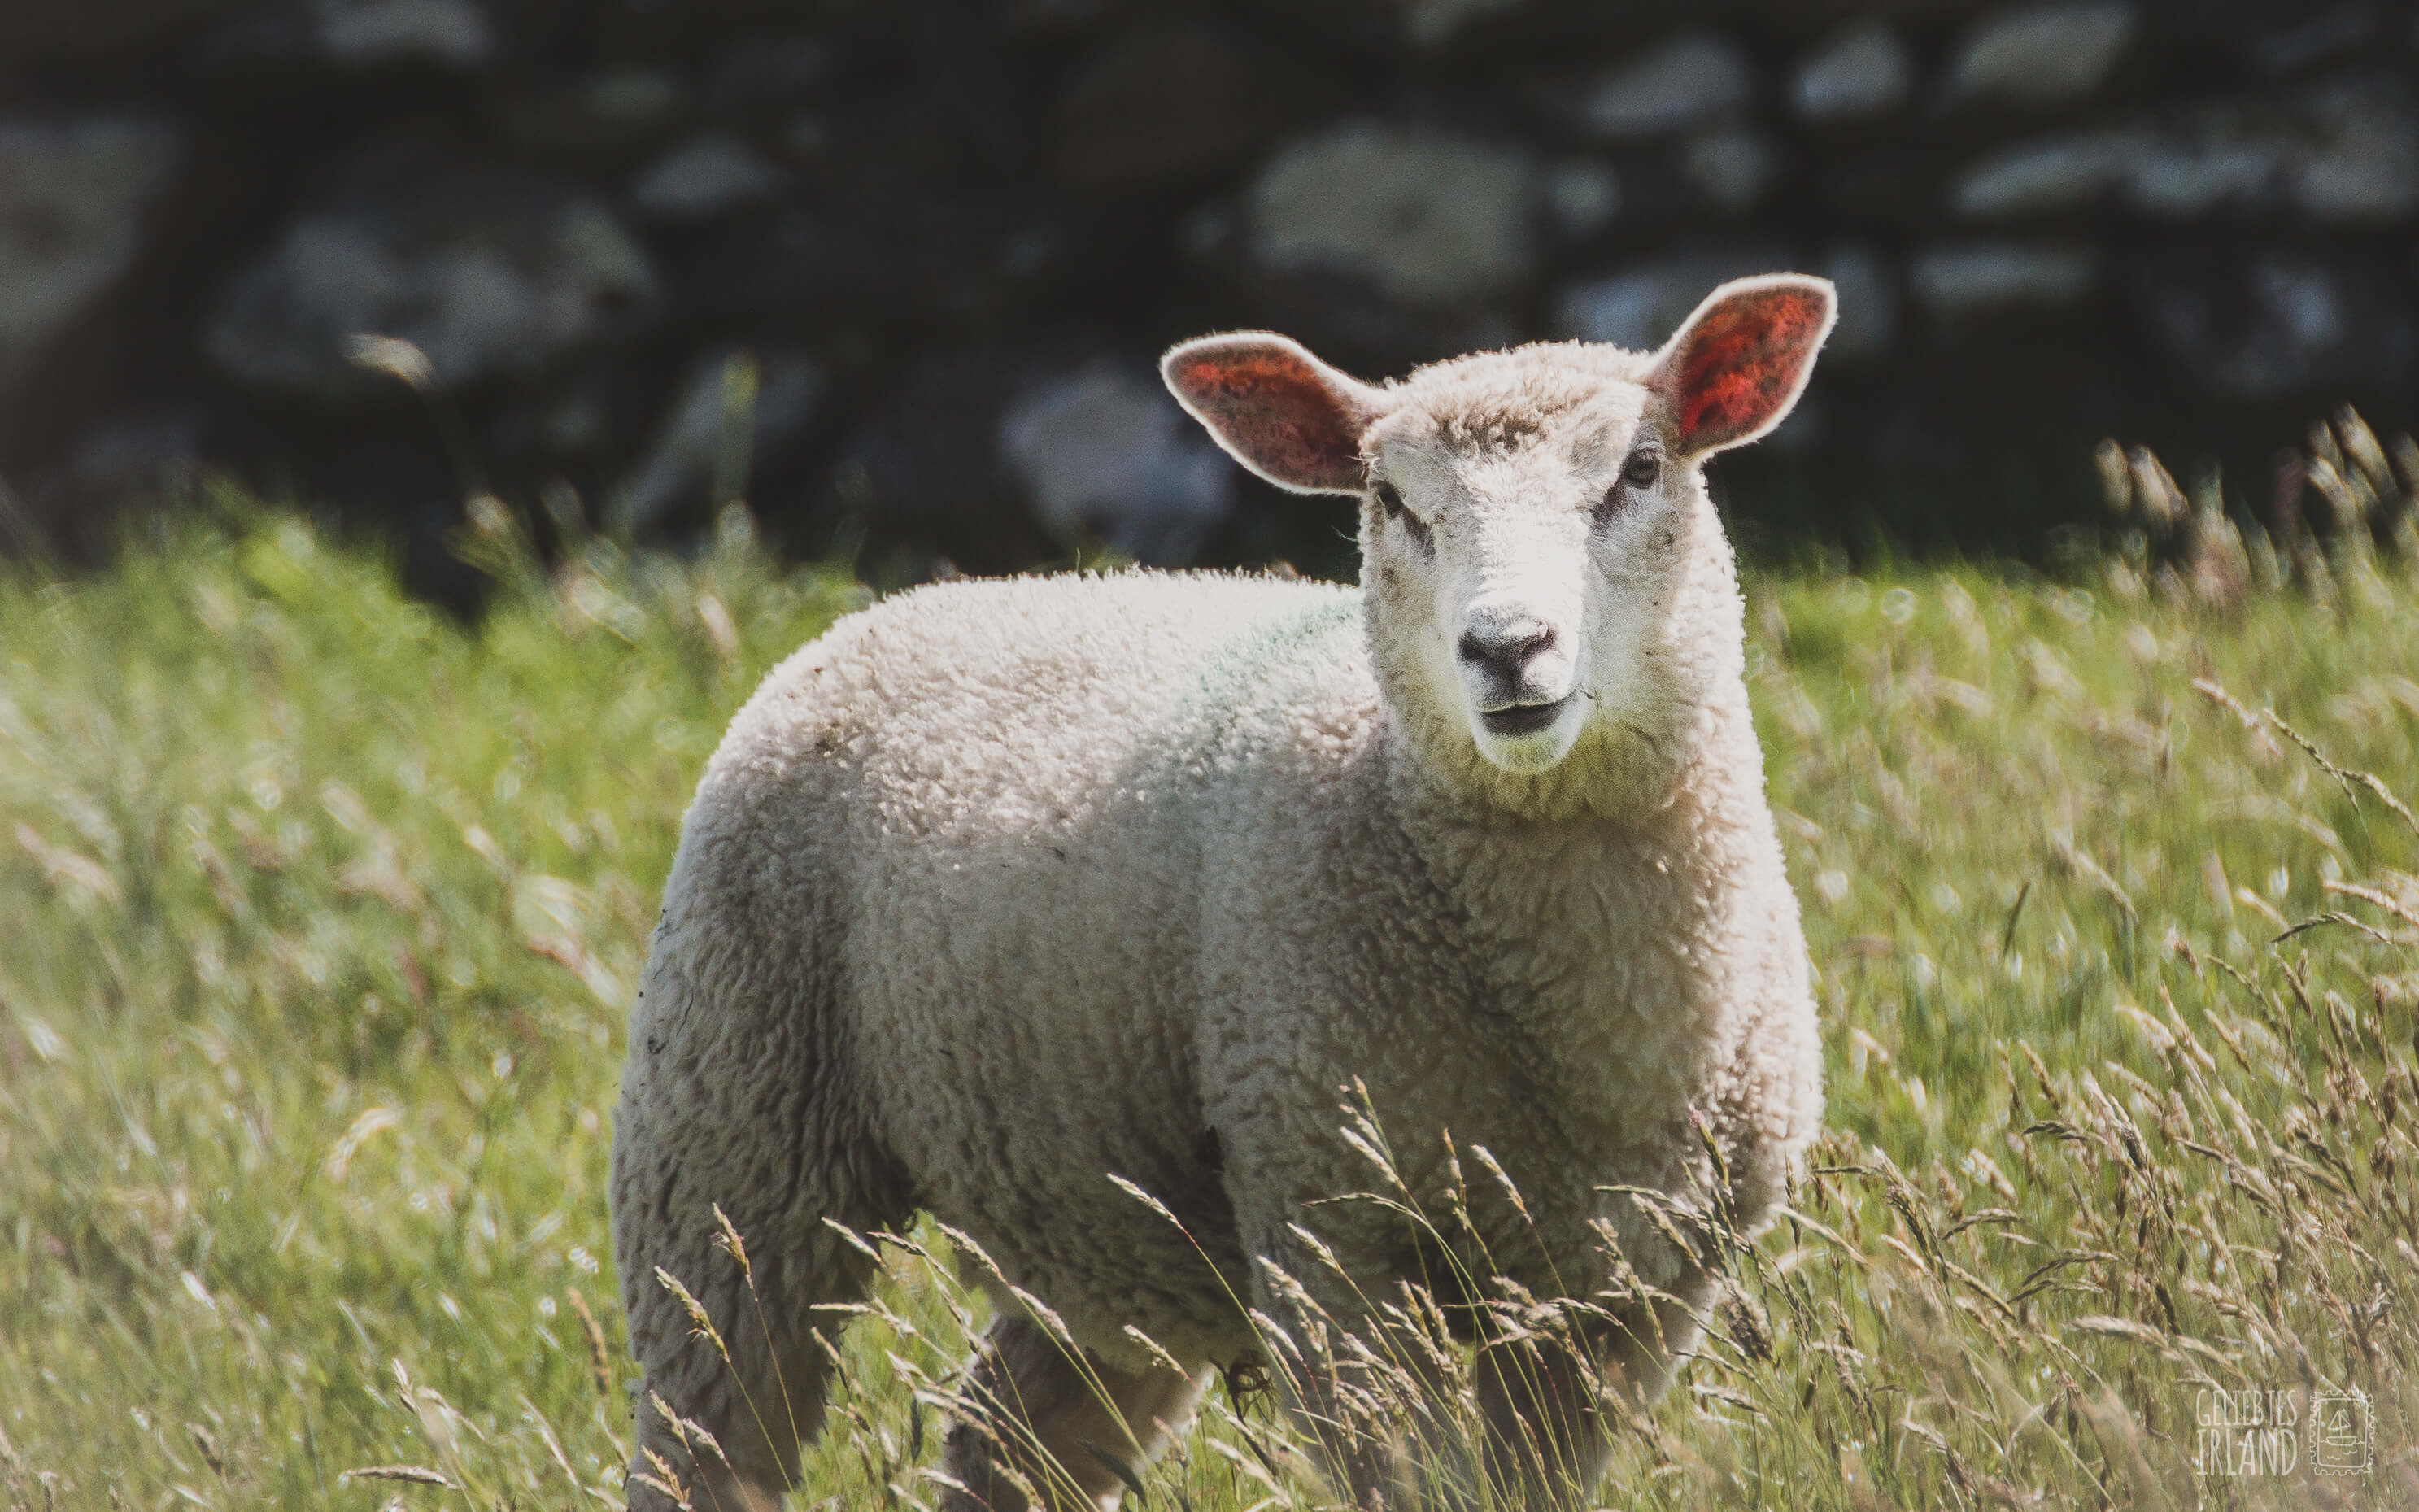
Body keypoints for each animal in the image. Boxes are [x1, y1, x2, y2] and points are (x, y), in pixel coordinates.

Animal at [609, 274, 1828, 1510]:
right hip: (730, 1121)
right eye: (1390, 499)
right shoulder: (1332, 1236)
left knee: (1009, 1439)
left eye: (1641, 469)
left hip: (1097, 1208)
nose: (1506, 646)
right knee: (709, 1426)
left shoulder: (1631, 1291)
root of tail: (910, 600)